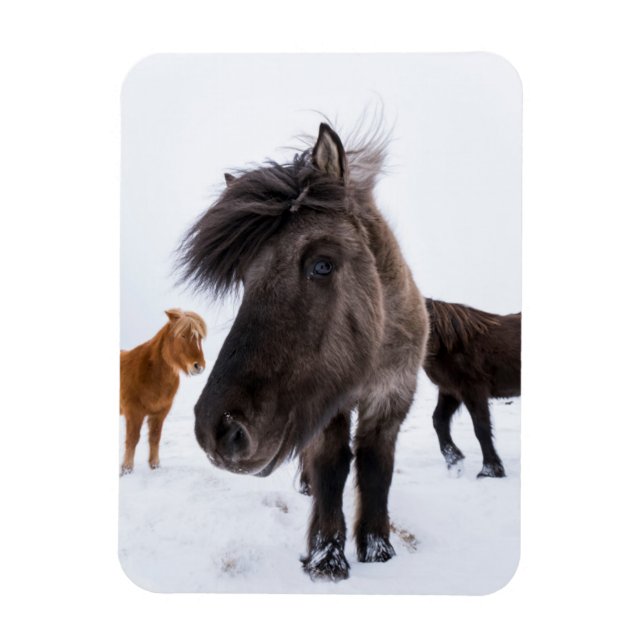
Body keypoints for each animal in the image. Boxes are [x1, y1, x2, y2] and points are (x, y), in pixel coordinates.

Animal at [119, 309, 207, 475]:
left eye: (199, 337)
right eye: (182, 335)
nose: (198, 366)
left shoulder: (159, 413)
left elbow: (155, 437)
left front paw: (154, 466)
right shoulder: (134, 413)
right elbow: (132, 439)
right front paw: (126, 469)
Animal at [178, 123, 428, 581]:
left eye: (323, 265)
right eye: (245, 278)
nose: (217, 431)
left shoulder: (390, 401)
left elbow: (375, 468)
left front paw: (378, 550)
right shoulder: (328, 405)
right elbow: (331, 466)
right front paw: (326, 558)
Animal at [423, 298, 521, 478]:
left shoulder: (473, 390)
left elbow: (481, 427)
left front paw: (490, 470)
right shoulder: (450, 391)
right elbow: (439, 420)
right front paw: (454, 461)